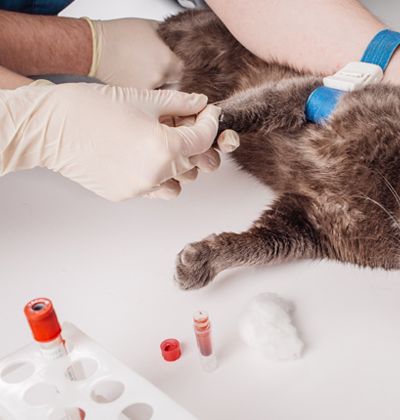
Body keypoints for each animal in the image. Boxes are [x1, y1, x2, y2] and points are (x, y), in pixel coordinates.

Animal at [158, 8, 400, 288]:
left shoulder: (311, 224)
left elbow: (258, 247)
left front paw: (201, 260)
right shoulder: (312, 95)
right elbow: (250, 108)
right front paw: (197, 127)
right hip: (205, 34)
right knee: (183, 22)